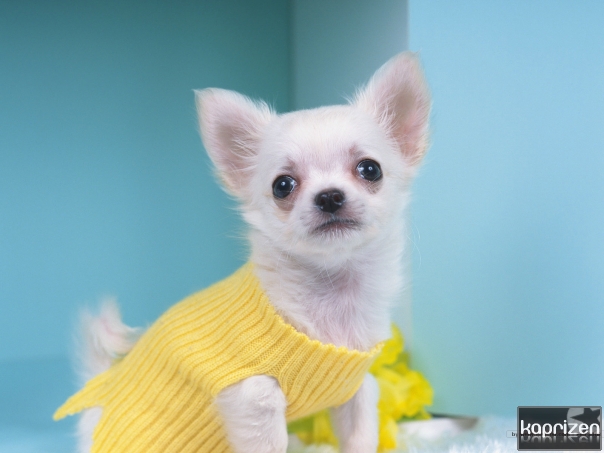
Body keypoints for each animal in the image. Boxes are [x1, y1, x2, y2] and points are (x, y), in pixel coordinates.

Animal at [57, 51, 430, 453]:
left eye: (370, 169)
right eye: (283, 185)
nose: (329, 196)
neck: (334, 293)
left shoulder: (357, 392)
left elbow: (360, 438)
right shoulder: (255, 398)